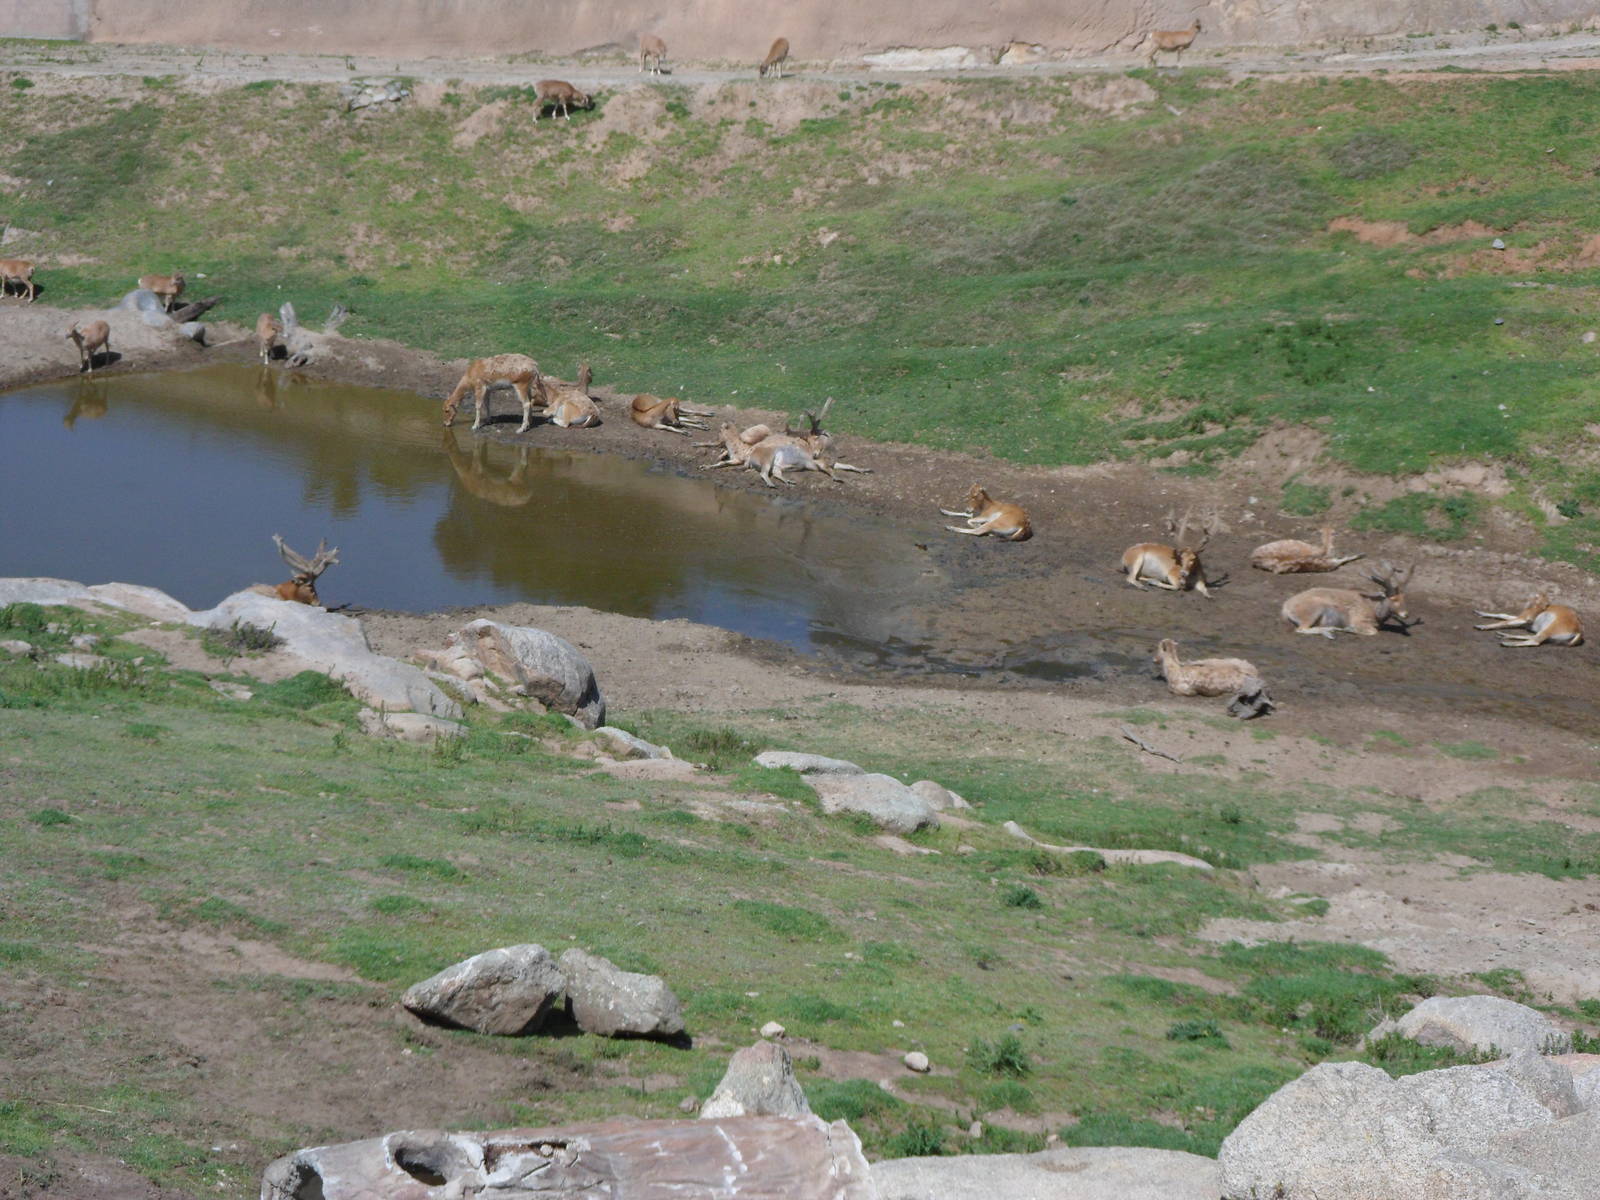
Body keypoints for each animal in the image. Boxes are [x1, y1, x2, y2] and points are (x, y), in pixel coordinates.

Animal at [1281, 561, 1415, 638]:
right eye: (1393, 598)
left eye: (1404, 597)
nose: (1406, 614)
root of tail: (1285, 608)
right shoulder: (1358, 619)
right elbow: (1373, 631)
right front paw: (1350, 629)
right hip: (1314, 611)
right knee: (1300, 629)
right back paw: (1332, 631)